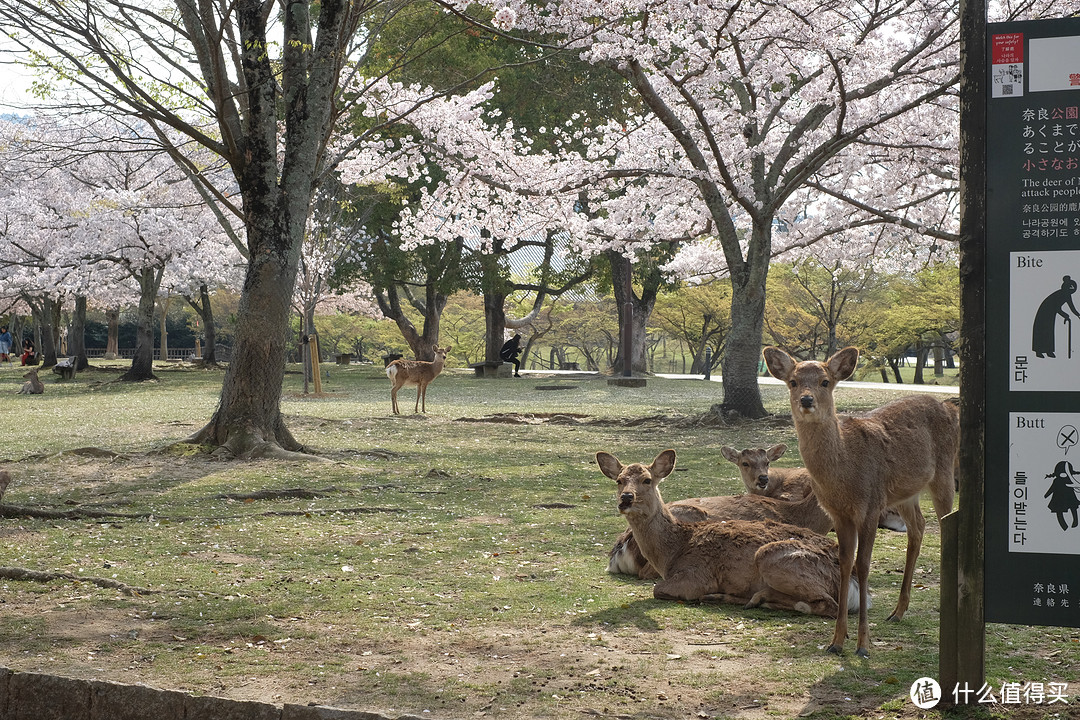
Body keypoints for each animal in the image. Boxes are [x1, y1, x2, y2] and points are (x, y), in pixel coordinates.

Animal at [596, 446, 855, 617]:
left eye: (647, 480)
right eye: (619, 480)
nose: (626, 498)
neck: (673, 550)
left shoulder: (696, 576)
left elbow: (657, 589)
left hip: (773, 557)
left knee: (827, 605)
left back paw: (755, 598)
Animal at [764, 345, 959, 660]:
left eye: (825, 381)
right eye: (792, 382)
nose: (806, 400)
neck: (844, 475)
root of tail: (949, 407)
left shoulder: (869, 506)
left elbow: (864, 565)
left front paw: (863, 645)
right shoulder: (839, 514)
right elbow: (846, 563)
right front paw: (836, 641)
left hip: (943, 476)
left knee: (942, 527)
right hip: (905, 493)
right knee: (918, 526)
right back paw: (897, 612)